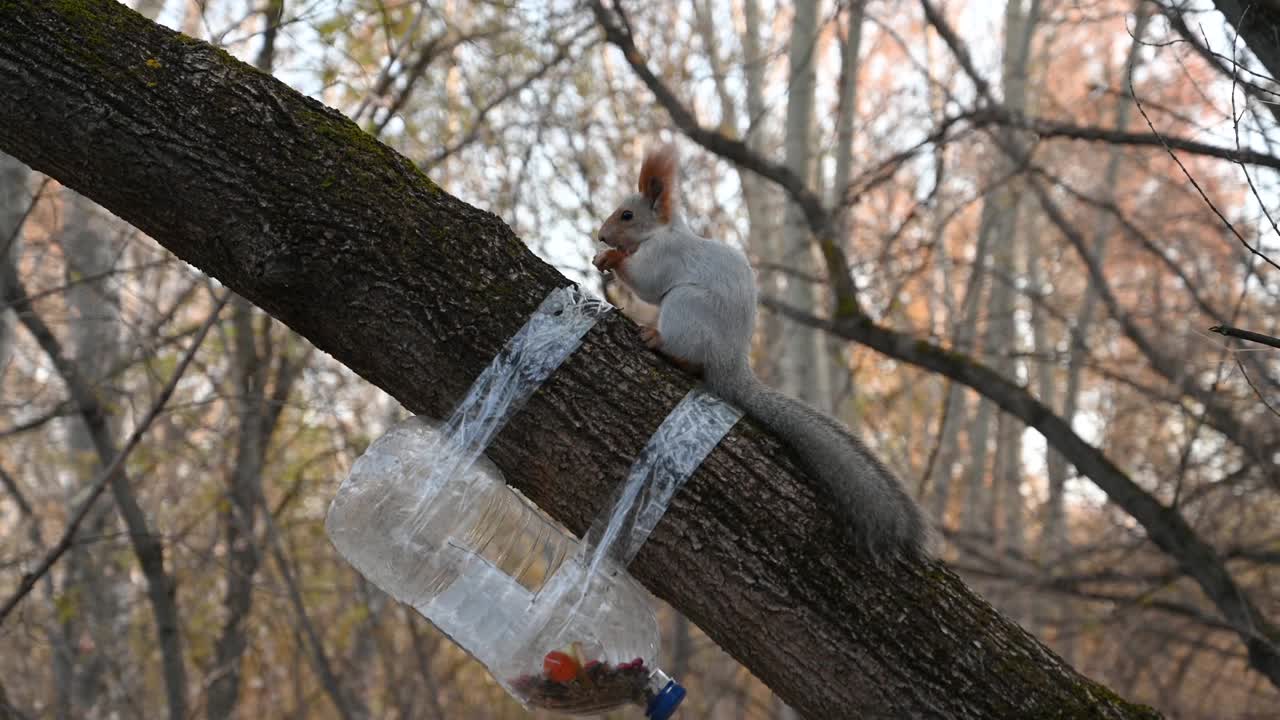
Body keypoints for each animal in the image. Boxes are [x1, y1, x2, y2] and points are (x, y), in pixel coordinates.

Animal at [588, 141, 931, 556]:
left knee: (690, 357)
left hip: (685, 308)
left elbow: (647, 282)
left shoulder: (665, 256)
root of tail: (731, 365)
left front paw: (613, 259)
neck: (661, 233)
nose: (602, 236)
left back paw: (659, 342)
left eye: (627, 215)